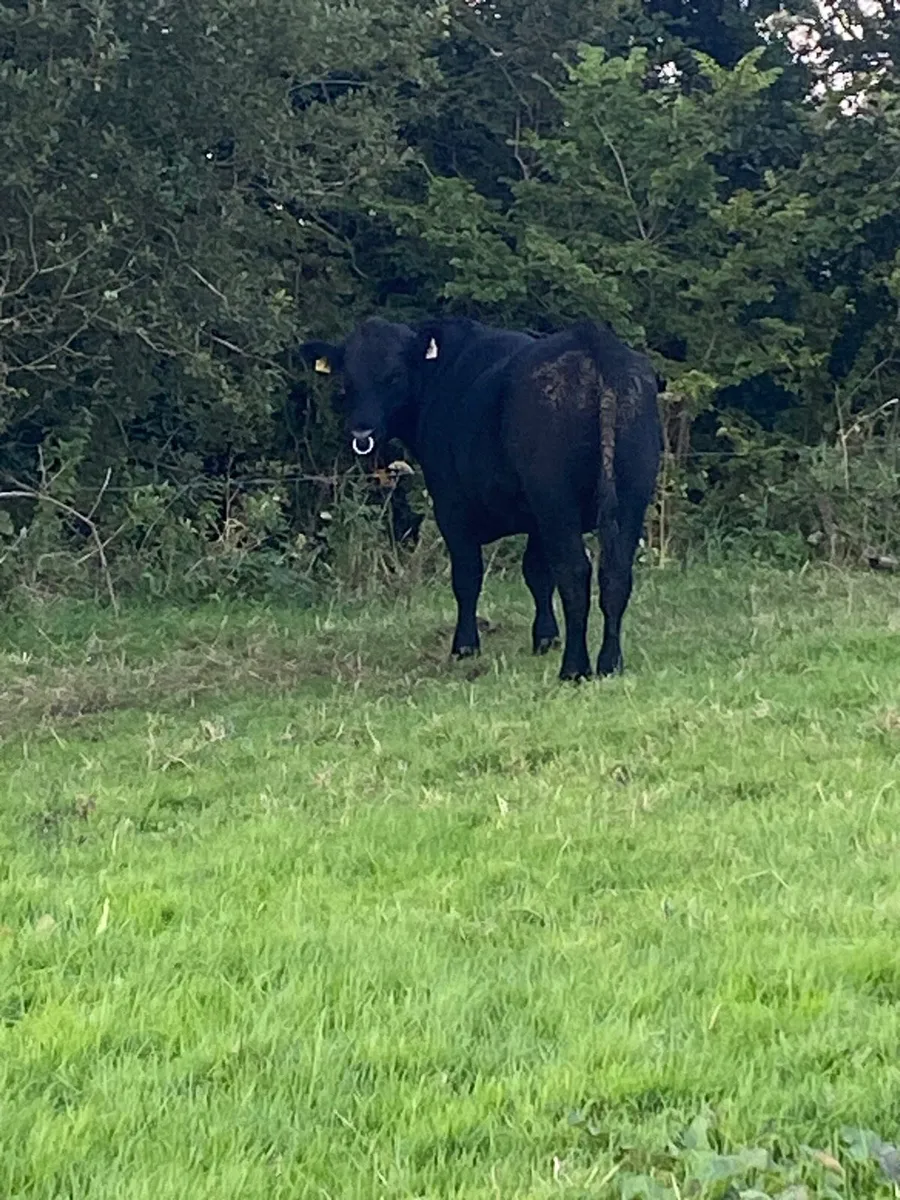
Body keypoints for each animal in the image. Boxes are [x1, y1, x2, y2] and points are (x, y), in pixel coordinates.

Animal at [298, 316, 662, 680]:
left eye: (395, 375)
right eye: (346, 381)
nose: (362, 433)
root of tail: (594, 342)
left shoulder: (452, 506)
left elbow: (468, 576)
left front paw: (465, 646)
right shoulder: (536, 519)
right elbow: (536, 574)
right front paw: (545, 638)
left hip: (557, 500)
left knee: (574, 572)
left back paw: (574, 668)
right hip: (630, 494)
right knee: (615, 573)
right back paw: (610, 664)